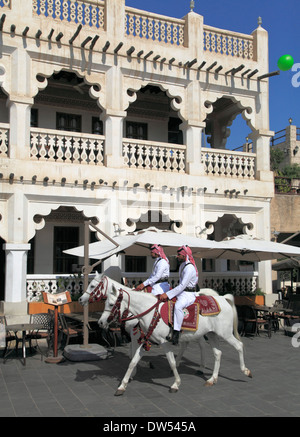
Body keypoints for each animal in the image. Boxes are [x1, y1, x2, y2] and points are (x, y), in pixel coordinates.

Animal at [79, 274, 251, 394]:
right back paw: (212, 378)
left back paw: (245, 370)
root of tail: (223, 298)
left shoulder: (161, 341)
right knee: (217, 353)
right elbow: (133, 360)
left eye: (110, 303)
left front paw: (175, 383)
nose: (101, 322)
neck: (147, 310)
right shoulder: (145, 339)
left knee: (239, 345)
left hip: (225, 334)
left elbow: (171, 362)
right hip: (211, 334)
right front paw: (123, 385)